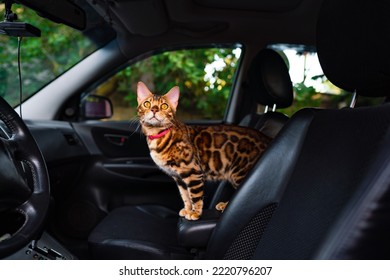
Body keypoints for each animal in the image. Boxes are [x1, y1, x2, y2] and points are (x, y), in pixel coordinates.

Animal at [136, 81, 272, 221]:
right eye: (147, 104)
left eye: (164, 106)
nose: (154, 109)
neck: (158, 135)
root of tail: (268, 139)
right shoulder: (179, 178)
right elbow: (185, 196)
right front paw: (187, 209)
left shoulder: (193, 172)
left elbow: (195, 196)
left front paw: (195, 213)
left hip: (240, 173)